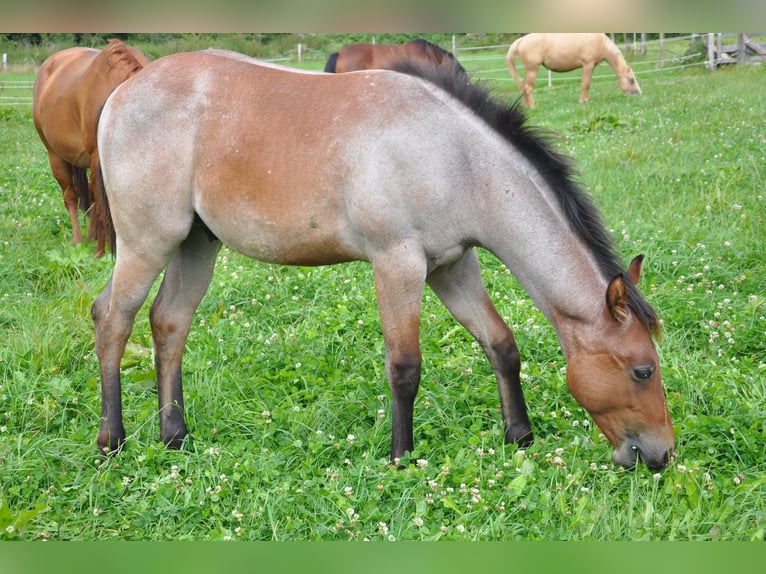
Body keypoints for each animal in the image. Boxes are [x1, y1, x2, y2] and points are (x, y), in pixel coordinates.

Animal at [32, 39, 148, 256]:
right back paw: (79, 241)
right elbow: (103, 205)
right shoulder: (99, 159)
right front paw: (101, 252)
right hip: (56, 156)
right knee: (71, 197)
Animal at [92, 49, 674, 470]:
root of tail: (121, 93)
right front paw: (401, 456)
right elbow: (404, 367)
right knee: (112, 319)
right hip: (148, 242)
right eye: (642, 370)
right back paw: (112, 441)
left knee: (169, 324)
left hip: (196, 245)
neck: (454, 157)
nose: (662, 455)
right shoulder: (399, 264)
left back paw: (175, 436)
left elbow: (501, 345)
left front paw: (520, 437)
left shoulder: (452, 267)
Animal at [507, 33, 642, 108]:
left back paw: (527, 106)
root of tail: (521, 40)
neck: (600, 42)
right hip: (532, 70)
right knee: (528, 88)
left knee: (524, 87)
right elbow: (585, 84)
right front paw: (583, 101)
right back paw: (533, 107)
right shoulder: (588, 64)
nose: (639, 94)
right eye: (631, 80)